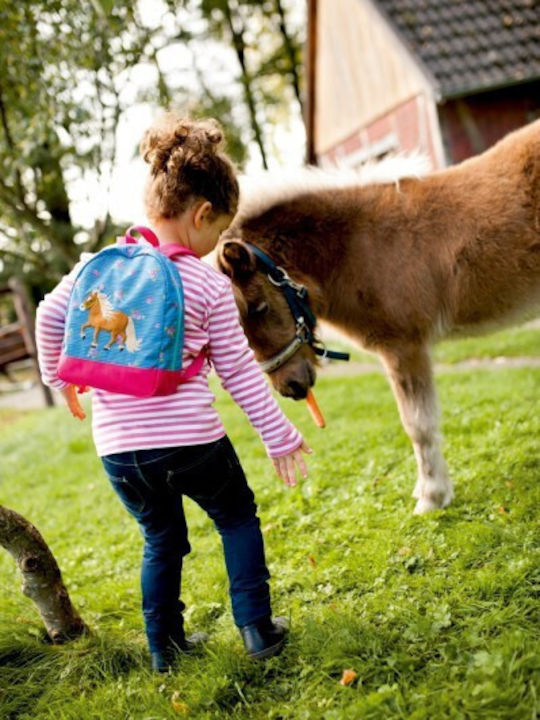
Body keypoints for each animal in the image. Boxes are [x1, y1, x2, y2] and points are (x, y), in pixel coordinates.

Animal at [217, 120, 540, 514]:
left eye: (260, 308)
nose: (290, 387)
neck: (358, 245)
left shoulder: (403, 347)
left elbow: (418, 425)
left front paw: (431, 497)